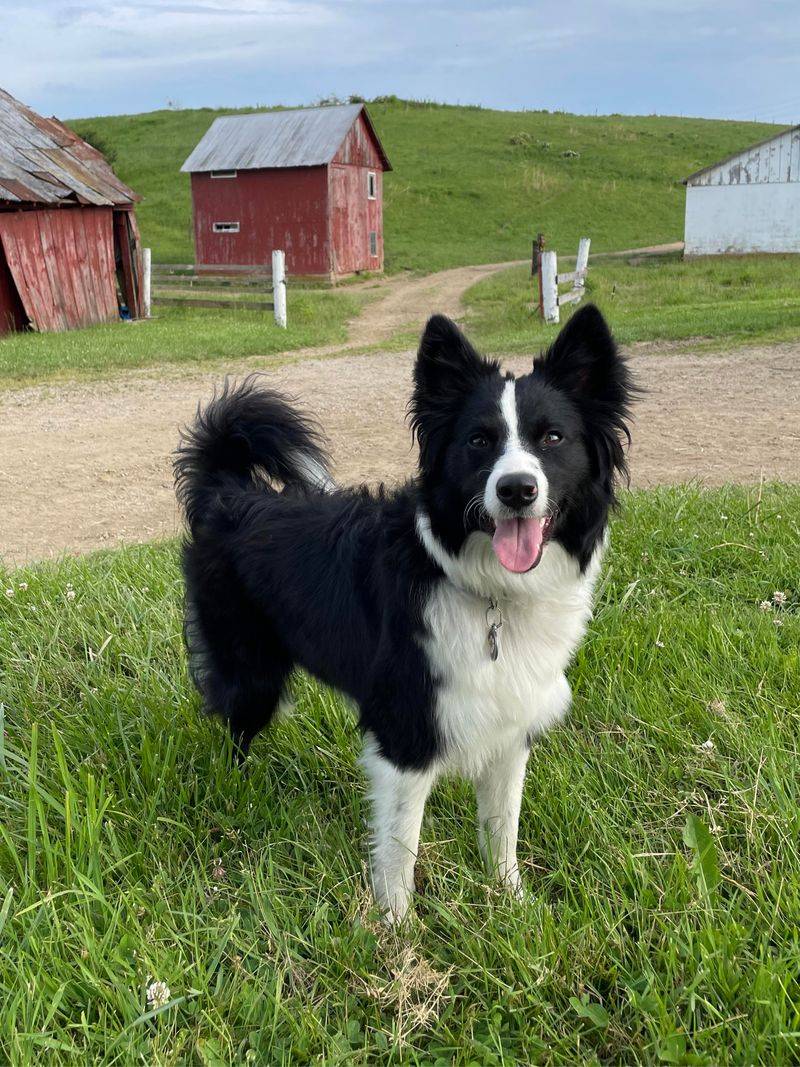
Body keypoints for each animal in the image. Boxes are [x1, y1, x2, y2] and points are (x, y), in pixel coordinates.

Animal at [174, 305, 631, 921]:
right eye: (479, 441)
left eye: (553, 438)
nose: (516, 489)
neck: (488, 591)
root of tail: (227, 489)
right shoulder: (405, 733)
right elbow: (399, 849)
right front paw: (392, 929)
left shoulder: (510, 726)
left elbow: (502, 829)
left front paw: (511, 903)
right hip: (251, 672)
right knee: (235, 733)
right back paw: (236, 794)